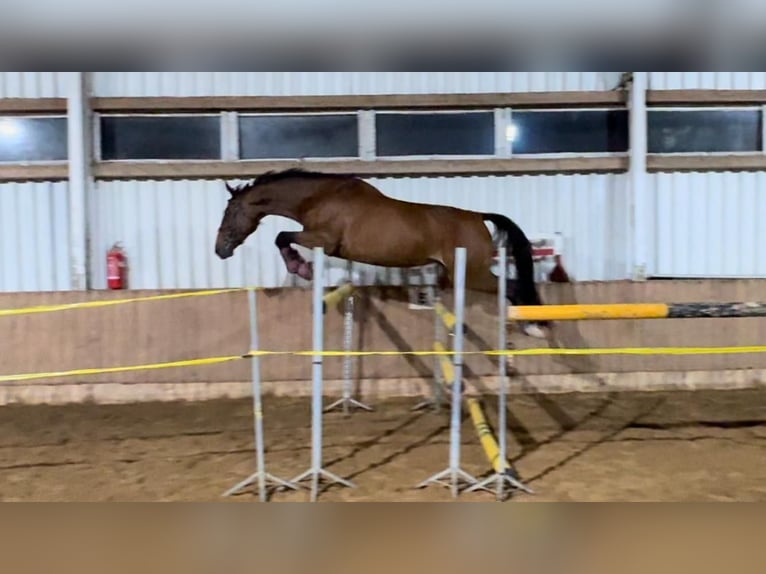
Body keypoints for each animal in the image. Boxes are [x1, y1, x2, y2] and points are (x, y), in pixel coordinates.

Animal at [213, 169, 556, 338]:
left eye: (230, 213)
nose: (220, 250)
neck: (319, 197)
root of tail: (477, 217)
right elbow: (282, 237)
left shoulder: (323, 239)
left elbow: (282, 236)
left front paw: (302, 269)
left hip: (474, 273)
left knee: (512, 287)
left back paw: (534, 327)